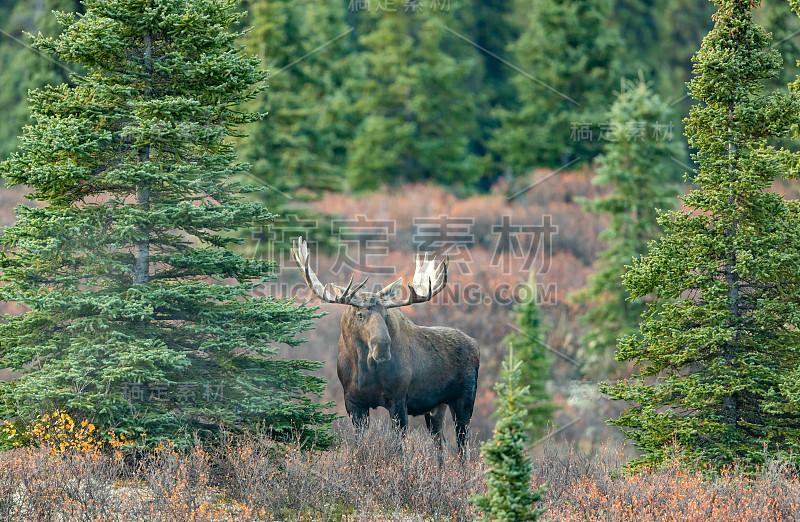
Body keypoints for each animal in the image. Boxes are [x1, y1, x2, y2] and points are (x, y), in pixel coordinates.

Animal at [294, 237, 482, 456]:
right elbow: (361, 445)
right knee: (440, 443)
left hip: (464, 401)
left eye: (385, 315)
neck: (364, 370)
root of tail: (476, 346)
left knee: (463, 447)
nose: (382, 348)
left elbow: (399, 448)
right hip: (436, 406)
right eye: (360, 315)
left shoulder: (399, 400)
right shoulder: (353, 403)